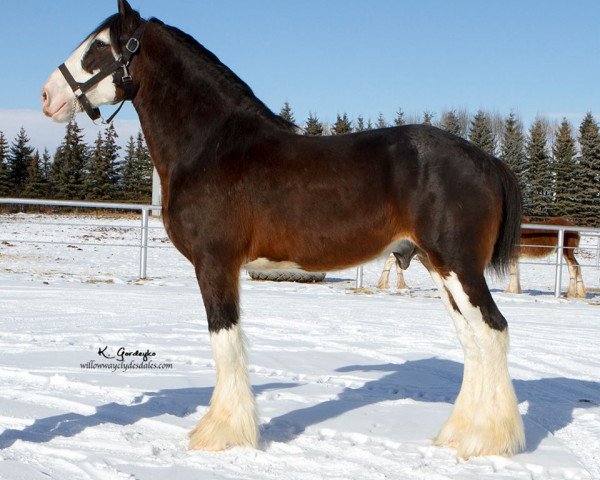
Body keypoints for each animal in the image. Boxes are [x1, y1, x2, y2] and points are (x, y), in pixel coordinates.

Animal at [39, 0, 524, 458]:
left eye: (99, 47)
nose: (46, 96)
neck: (213, 147)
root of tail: (487, 160)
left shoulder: (214, 263)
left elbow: (225, 341)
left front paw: (221, 435)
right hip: (436, 265)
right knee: (472, 341)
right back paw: (458, 435)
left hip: (458, 266)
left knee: (493, 332)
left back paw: (488, 441)